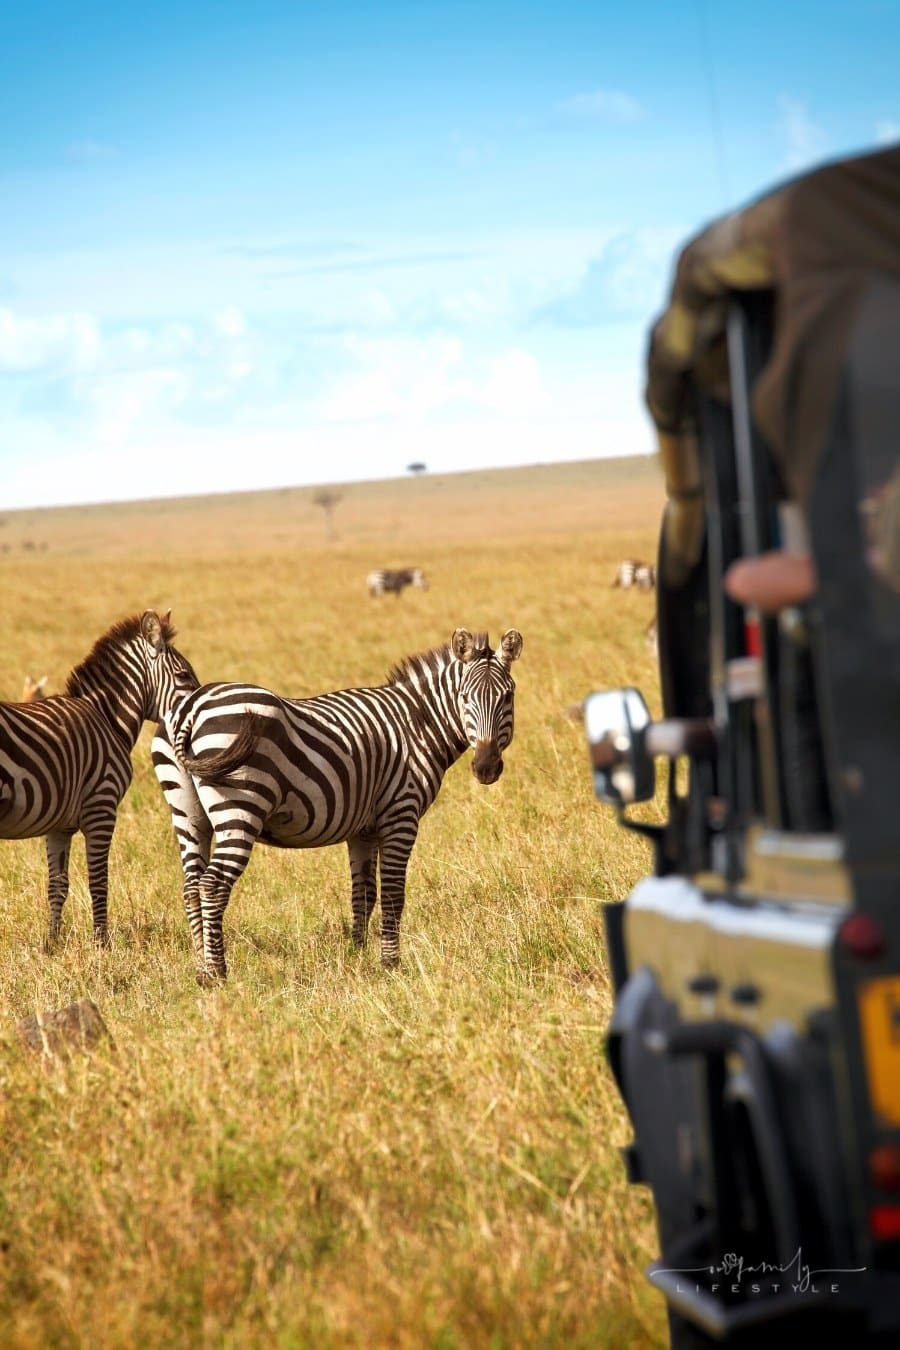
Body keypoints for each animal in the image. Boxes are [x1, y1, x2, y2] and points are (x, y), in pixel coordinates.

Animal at [0, 610, 199, 946]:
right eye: (184, 676)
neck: (106, 717)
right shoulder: (102, 808)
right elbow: (98, 880)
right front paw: (101, 943)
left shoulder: (60, 825)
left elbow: (57, 884)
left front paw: (52, 943)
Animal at [152, 627, 524, 984]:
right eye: (464, 697)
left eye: (508, 696)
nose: (486, 767)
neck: (416, 724)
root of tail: (191, 707)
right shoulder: (401, 814)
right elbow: (393, 893)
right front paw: (391, 964)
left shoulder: (363, 829)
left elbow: (364, 894)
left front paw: (358, 957)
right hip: (239, 807)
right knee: (212, 885)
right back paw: (218, 974)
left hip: (188, 813)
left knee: (191, 886)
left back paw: (201, 969)